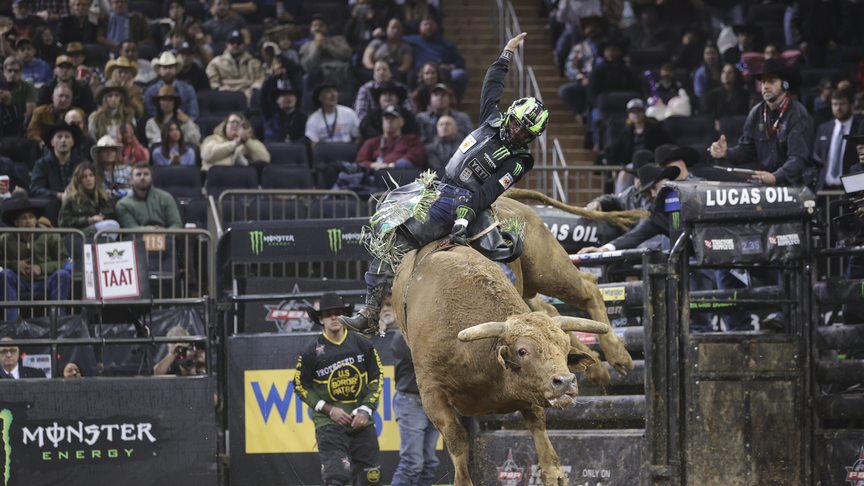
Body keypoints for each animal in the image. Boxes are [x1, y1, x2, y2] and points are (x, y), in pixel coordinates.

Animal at [396, 245, 608, 486]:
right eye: (522, 351)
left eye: (564, 350)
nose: (565, 382)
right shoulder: (431, 392)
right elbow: (456, 437)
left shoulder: (527, 391)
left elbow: (537, 421)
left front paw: (554, 472)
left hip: (551, 269)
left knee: (585, 287)